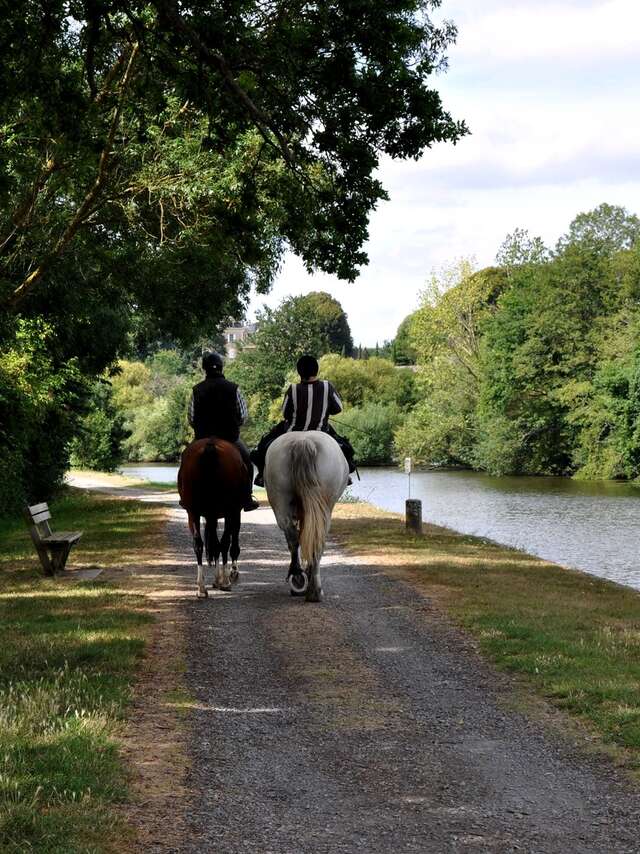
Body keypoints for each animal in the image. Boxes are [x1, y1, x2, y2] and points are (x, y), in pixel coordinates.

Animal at [179, 438, 246, 600]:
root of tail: (210, 445)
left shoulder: (211, 515)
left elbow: (214, 544)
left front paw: (217, 579)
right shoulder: (234, 512)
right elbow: (230, 544)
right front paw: (230, 574)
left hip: (193, 512)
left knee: (198, 544)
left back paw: (201, 588)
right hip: (229, 511)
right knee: (225, 542)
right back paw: (225, 581)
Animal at [264, 432, 348, 604]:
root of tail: (303, 441)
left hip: (281, 502)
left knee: (293, 536)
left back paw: (299, 578)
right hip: (325, 508)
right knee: (316, 541)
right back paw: (313, 589)